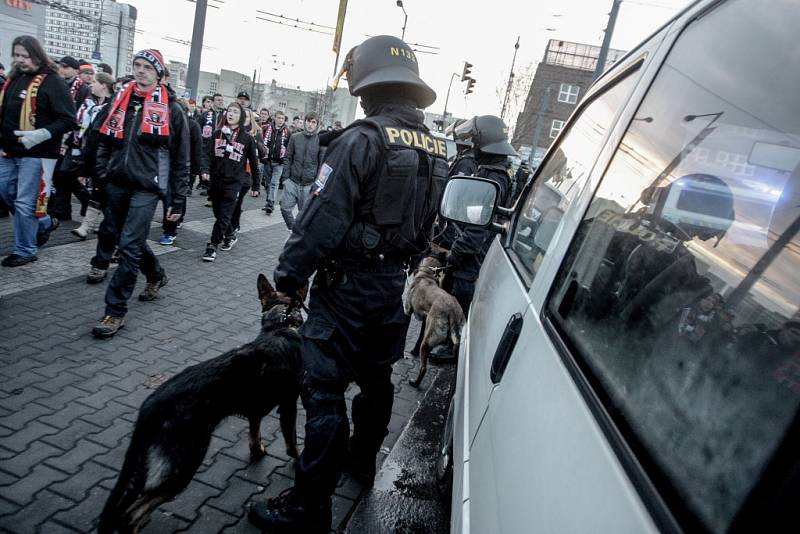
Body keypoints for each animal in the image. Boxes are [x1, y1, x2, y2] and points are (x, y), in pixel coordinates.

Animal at [94, 276, 306, 534]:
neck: (280, 326)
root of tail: (151, 406)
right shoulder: (288, 406)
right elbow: (292, 444)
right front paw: (299, 463)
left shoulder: (254, 410)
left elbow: (254, 433)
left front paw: (257, 452)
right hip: (183, 466)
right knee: (130, 514)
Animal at [404, 256, 466, 390]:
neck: (425, 275)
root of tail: (452, 310)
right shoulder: (425, 319)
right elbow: (419, 337)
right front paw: (414, 351)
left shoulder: (407, 311)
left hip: (427, 342)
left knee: (423, 368)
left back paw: (415, 383)